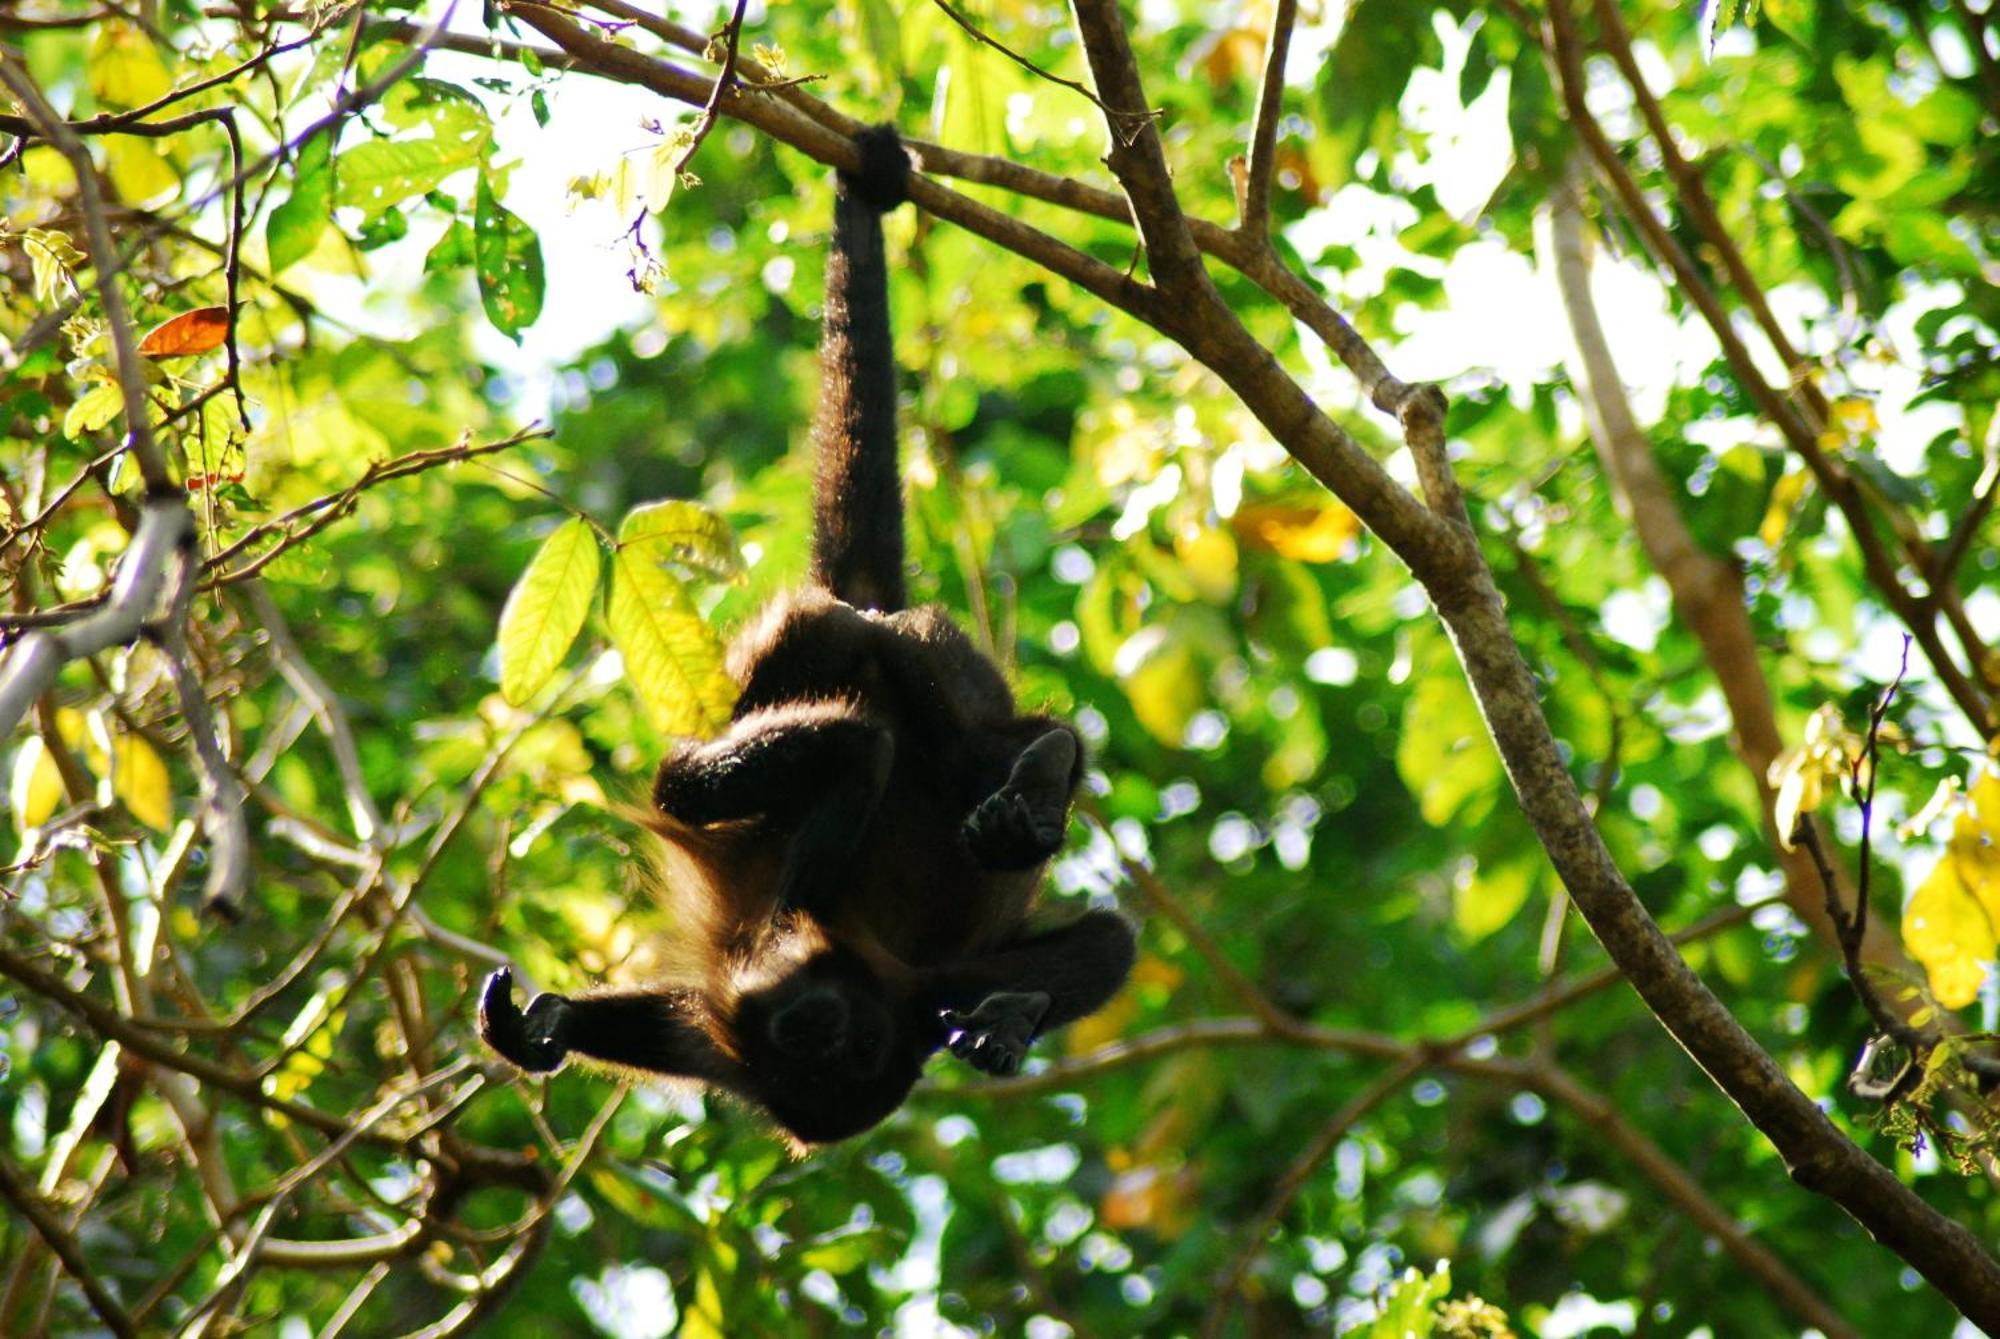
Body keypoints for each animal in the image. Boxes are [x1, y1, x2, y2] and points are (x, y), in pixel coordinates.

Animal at [476, 125, 1136, 1151]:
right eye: (817, 1057)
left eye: (845, 1055)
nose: (814, 1034)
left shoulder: (886, 1002)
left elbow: (1105, 942)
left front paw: (549, 1024)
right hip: (823, 639)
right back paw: (1028, 780)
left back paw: (1031, 798)